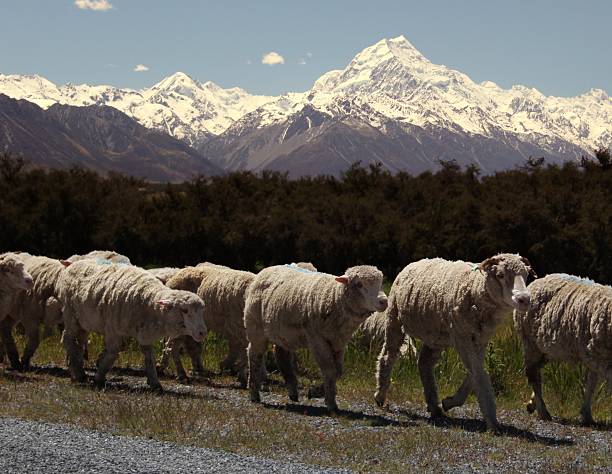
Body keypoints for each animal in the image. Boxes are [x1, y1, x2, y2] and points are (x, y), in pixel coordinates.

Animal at [57, 260, 207, 388]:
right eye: (185, 310)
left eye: (202, 310)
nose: (202, 332)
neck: (148, 300)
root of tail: (73, 264)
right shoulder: (114, 330)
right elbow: (113, 353)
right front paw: (99, 377)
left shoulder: (146, 334)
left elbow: (149, 357)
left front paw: (155, 382)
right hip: (71, 314)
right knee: (67, 339)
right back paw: (78, 373)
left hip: (83, 321)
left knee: (79, 341)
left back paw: (78, 369)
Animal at [245, 262, 384, 412]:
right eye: (359, 284)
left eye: (381, 282)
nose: (384, 301)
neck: (335, 298)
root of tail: (266, 270)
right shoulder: (317, 338)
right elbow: (330, 369)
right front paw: (329, 402)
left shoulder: (338, 341)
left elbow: (338, 371)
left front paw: (318, 392)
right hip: (255, 326)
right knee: (255, 355)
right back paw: (254, 393)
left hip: (283, 333)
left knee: (282, 356)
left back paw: (292, 391)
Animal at [376, 254, 532, 432]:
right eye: (500, 275)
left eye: (526, 275)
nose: (524, 299)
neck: (474, 289)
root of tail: (416, 262)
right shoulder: (461, 336)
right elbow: (479, 374)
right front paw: (492, 420)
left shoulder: (481, 339)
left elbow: (475, 373)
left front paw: (450, 402)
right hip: (394, 318)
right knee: (387, 357)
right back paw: (380, 397)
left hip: (435, 336)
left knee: (424, 363)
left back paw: (434, 406)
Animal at [512, 272, 608, 424]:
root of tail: (537, 281)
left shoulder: (596, 356)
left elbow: (591, 385)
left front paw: (586, 415)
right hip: (531, 343)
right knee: (533, 376)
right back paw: (543, 411)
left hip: (545, 350)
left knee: (536, 371)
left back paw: (532, 404)